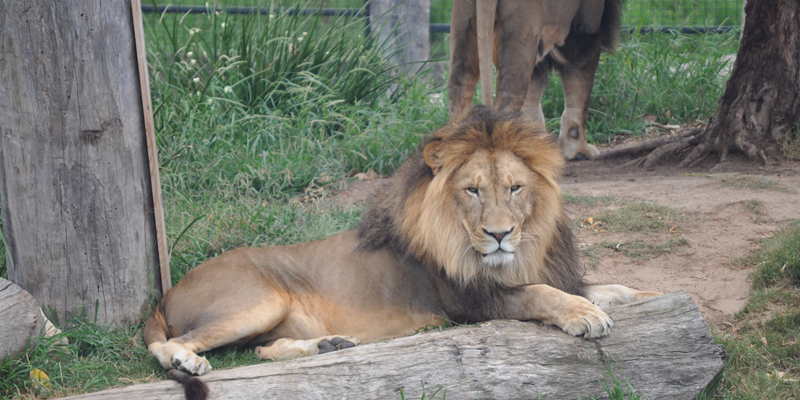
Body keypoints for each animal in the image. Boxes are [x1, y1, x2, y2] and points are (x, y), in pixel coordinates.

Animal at [147, 107, 660, 400]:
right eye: (473, 190)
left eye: (516, 188)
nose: (499, 234)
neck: (521, 252)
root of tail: (166, 294)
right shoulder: (472, 303)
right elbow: (540, 294)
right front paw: (584, 315)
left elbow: (610, 287)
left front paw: (649, 297)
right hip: (257, 300)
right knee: (169, 344)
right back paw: (188, 362)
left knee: (259, 350)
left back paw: (329, 345)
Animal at [446, 0, 620, 159]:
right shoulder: (585, 29)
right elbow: (579, 99)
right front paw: (578, 150)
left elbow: (531, 104)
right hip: (522, 32)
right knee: (505, 105)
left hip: (464, 23)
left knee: (459, 94)